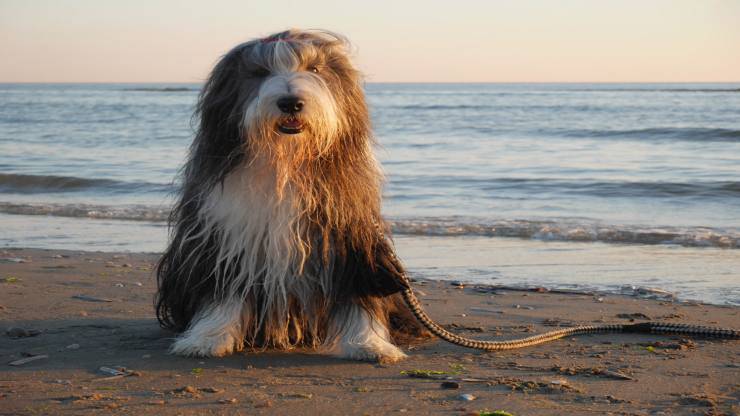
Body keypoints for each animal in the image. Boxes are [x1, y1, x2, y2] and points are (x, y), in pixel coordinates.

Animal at [156, 29, 428, 362]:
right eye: (260, 72)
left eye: (314, 68)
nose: (291, 103)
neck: (284, 163)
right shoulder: (227, 236)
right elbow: (222, 291)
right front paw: (208, 338)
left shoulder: (348, 237)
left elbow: (357, 295)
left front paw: (368, 344)